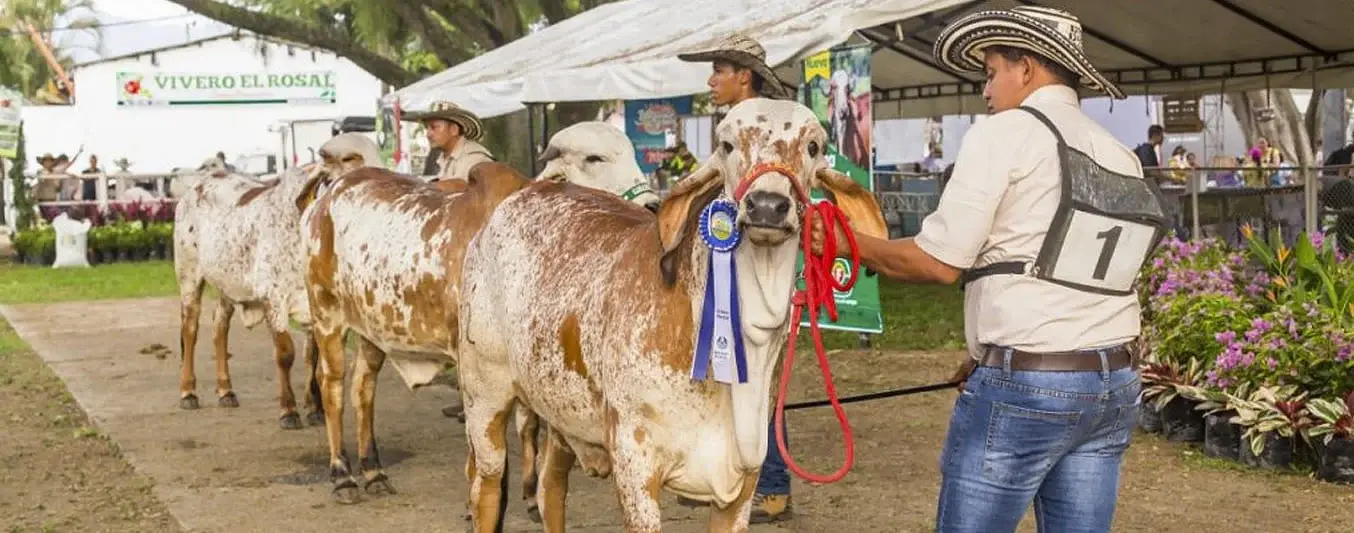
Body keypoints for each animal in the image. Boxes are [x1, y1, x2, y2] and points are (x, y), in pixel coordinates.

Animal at [171, 133, 381, 430]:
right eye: (349, 158)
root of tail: (200, 183)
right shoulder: (274, 298)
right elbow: (285, 354)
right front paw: (289, 410)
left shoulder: (317, 306)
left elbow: (314, 357)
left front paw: (315, 408)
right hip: (189, 275)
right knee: (190, 329)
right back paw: (188, 392)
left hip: (228, 284)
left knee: (219, 327)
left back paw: (226, 390)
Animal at [296, 121, 660, 508]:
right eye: (594, 158)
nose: (654, 205)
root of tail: (327, 198)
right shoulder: (472, 362)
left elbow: (528, 424)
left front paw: (530, 493)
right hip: (326, 313)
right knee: (333, 387)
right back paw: (342, 474)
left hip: (370, 330)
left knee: (363, 390)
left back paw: (373, 470)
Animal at [460, 96, 893, 533]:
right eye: (726, 145)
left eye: (814, 146)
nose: (768, 206)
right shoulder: (635, 464)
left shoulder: (742, 481)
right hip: (484, 398)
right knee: (485, 489)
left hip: (559, 413)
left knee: (551, 490)